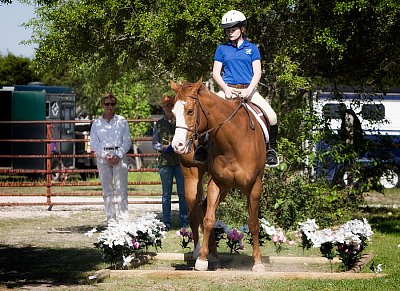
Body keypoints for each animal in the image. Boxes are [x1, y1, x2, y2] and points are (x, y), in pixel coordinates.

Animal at [170, 78, 268, 272]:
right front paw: (201, 260)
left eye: (190, 111)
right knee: (196, 214)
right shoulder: (216, 183)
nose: (177, 145)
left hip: (227, 188)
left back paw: (214, 256)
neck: (233, 141)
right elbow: (209, 219)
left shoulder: (254, 186)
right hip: (192, 177)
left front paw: (258, 263)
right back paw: (201, 253)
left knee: (202, 209)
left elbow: (253, 223)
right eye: (173, 112)